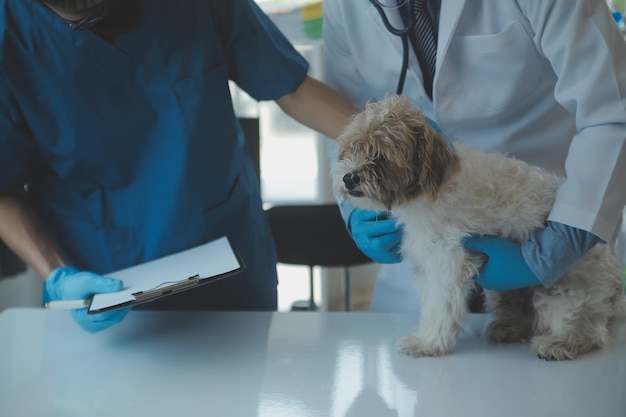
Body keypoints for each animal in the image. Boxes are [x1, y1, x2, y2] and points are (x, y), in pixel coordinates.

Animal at [332, 96, 624, 360]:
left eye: (381, 156)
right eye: (351, 149)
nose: (348, 178)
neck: (430, 193)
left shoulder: (448, 260)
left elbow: (439, 307)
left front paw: (429, 342)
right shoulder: (429, 262)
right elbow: (430, 305)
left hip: (566, 295)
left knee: (588, 332)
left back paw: (559, 343)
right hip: (504, 290)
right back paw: (508, 327)